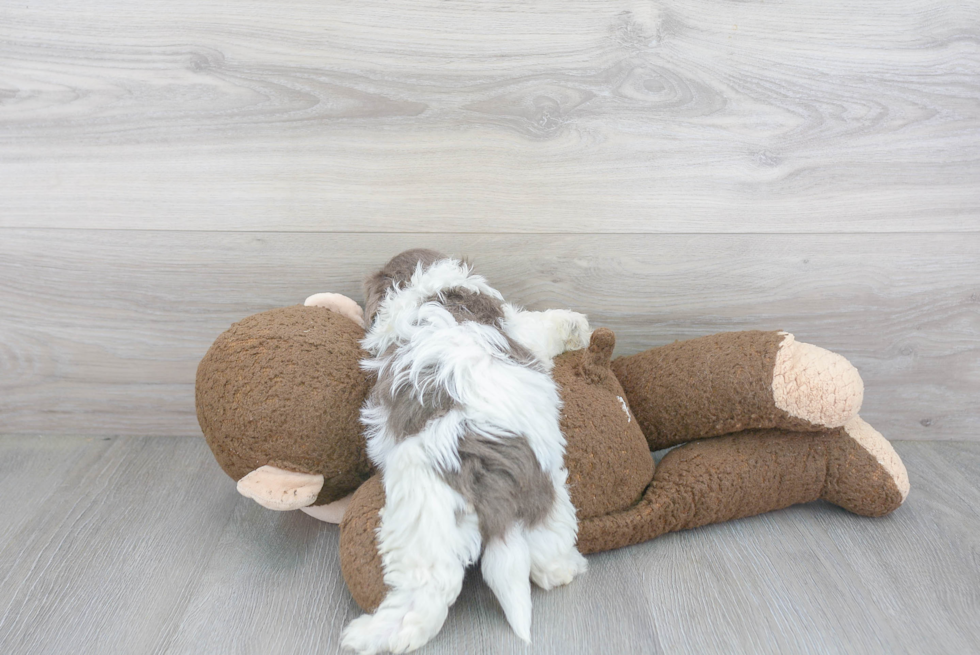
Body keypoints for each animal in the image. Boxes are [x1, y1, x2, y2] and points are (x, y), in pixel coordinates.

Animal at [342, 249, 588, 652]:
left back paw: (373, 635)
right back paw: (564, 568)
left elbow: (538, 325)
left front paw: (575, 326)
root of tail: (491, 478)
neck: (429, 287)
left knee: (429, 590)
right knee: (547, 548)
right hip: (546, 492)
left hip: (427, 514)